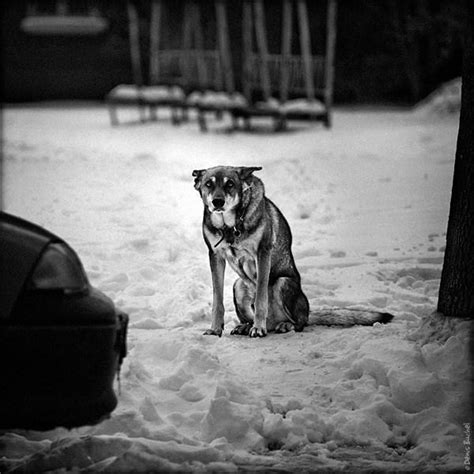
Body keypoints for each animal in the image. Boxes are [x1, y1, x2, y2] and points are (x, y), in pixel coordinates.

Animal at [193, 167, 392, 336]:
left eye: (230, 184)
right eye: (208, 184)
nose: (217, 202)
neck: (229, 227)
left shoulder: (262, 253)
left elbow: (261, 298)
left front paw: (258, 328)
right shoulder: (216, 257)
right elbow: (217, 300)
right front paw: (215, 329)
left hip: (283, 283)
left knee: (300, 323)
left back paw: (282, 325)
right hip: (238, 286)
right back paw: (246, 326)